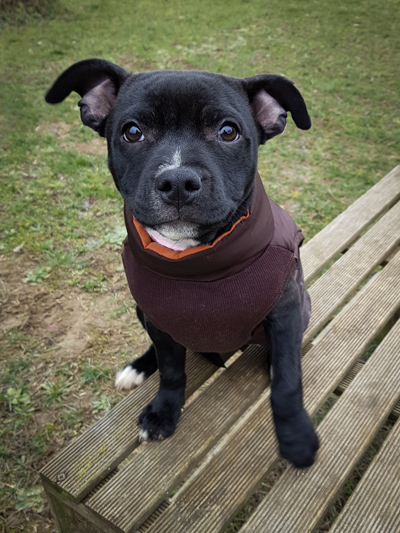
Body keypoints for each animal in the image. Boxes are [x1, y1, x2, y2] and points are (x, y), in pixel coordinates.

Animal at [46, 59, 318, 466]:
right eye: (132, 132)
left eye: (228, 131)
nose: (177, 181)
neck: (197, 264)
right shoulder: (159, 319)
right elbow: (172, 369)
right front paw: (163, 411)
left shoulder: (285, 312)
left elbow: (287, 381)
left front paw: (296, 436)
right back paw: (138, 368)